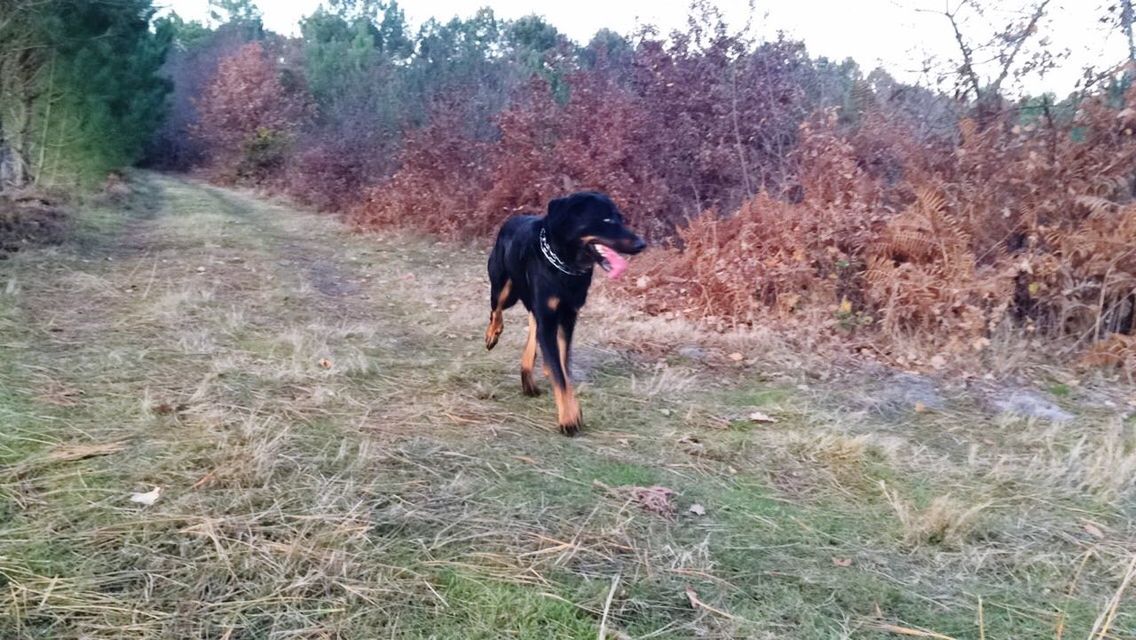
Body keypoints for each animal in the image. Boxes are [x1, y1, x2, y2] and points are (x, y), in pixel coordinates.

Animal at [486, 193, 649, 438]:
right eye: (606, 219)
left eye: (620, 218)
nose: (641, 244)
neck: (565, 265)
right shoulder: (549, 317)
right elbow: (560, 376)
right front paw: (569, 419)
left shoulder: (567, 318)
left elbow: (563, 367)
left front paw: (572, 409)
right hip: (503, 288)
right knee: (496, 309)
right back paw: (492, 335)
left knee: (533, 325)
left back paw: (529, 376)